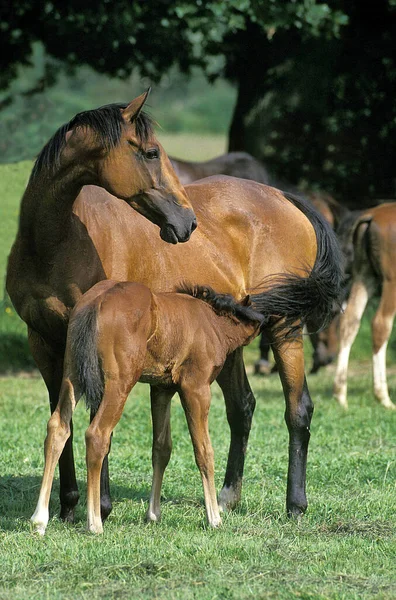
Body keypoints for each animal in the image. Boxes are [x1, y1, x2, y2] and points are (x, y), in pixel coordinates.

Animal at [31, 282, 270, 536]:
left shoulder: (161, 390)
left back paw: (39, 520)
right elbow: (204, 451)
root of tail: (96, 301)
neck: (212, 322)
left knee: (58, 427)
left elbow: (161, 448)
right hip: (119, 383)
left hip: (71, 376)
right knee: (97, 435)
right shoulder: (196, 388)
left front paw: (153, 514)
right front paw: (214, 517)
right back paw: (94, 523)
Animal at [334, 204, 396, 410]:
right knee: (380, 324)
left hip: (364, 276)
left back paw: (341, 395)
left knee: (349, 321)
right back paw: (383, 397)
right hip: (390, 281)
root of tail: (372, 215)